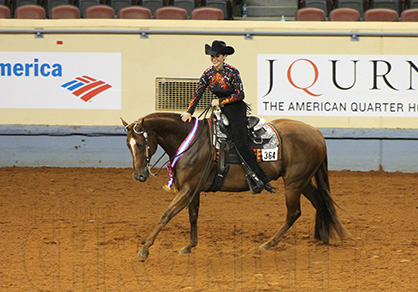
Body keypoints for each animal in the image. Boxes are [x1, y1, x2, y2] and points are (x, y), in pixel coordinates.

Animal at [121, 111, 346, 260]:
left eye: (140, 143)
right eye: (127, 145)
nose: (139, 175)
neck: (192, 143)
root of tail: (316, 132)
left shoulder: (187, 189)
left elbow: (166, 214)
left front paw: (144, 249)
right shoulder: (193, 189)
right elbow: (193, 216)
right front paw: (189, 245)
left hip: (293, 183)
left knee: (294, 213)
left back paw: (268, 244)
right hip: (303, 181)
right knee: (319, 202)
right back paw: (322, 238)